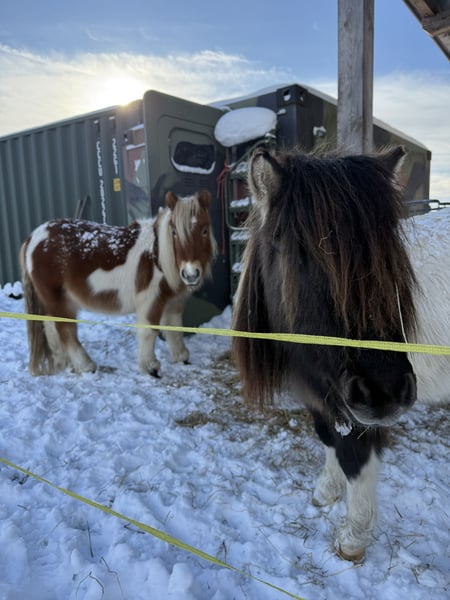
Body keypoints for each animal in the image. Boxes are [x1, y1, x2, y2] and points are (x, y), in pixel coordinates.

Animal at [20, 190, 217, 377]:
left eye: (204, 230)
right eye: (174, 232)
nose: (190, 274)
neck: (157, 255)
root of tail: (33, 237)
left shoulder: (173, 302)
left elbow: (174, 329)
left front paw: (181, 358)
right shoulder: (151, 301)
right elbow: (149, 331)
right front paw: (151, 367)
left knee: (50, 329)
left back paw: (64, 363)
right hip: (58, 301)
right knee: (65, 330)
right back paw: (86, 366)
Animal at [232, 146, 420, 563]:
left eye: (392, 256)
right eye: (297, 252)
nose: (386, 390)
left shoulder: (356, 409)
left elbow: (357, 459)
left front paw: (353, 536)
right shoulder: (322, 394)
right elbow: (328, 438)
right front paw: (326, 492)